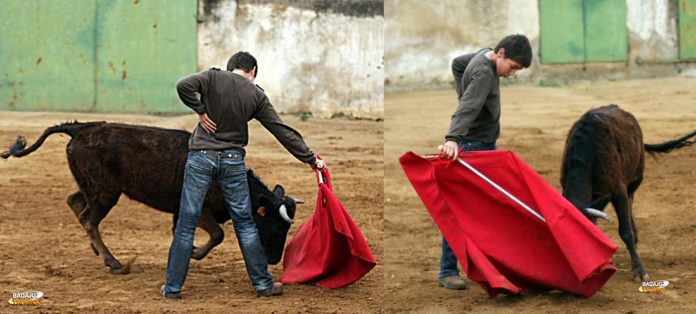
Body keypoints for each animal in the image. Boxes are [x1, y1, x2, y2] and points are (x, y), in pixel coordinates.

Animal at [2, 121, 302, 274]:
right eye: (276, 227)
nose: (274, 260)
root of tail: (81, 129)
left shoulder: (180, 211)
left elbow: (185, 233)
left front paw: (187, 253)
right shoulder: (201, 210)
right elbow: (217, 235)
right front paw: (194, 253)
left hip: (95, 188)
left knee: (75, 202)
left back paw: (98, 252)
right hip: (106, 193)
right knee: (88, 217)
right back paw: (114, 263)